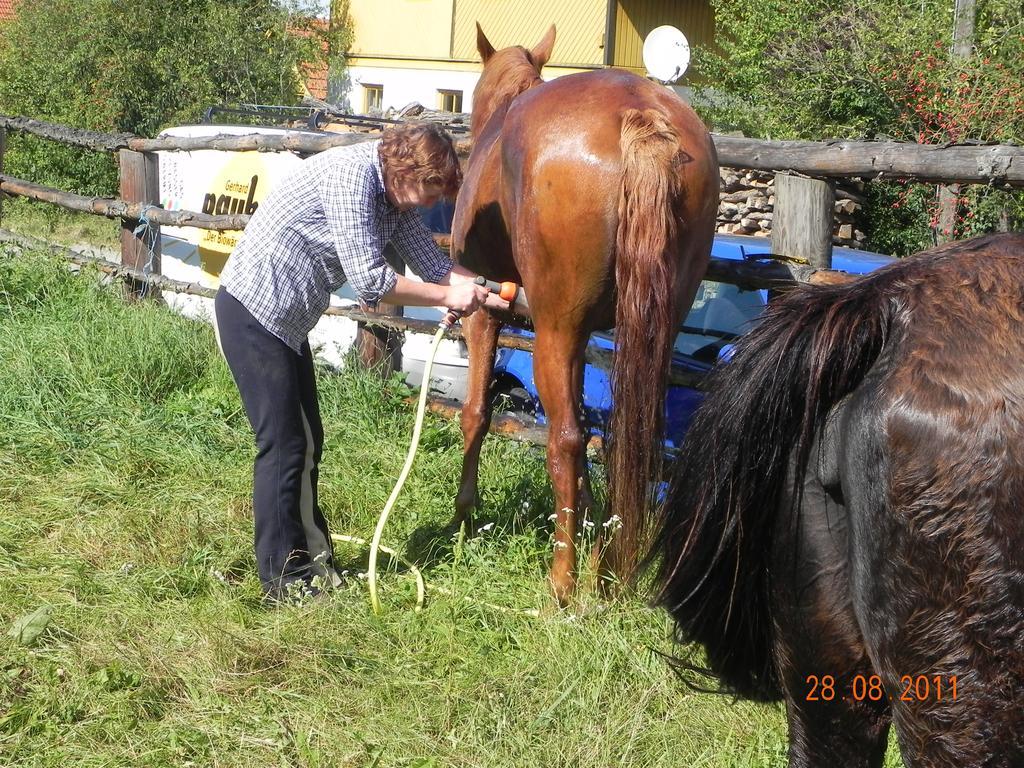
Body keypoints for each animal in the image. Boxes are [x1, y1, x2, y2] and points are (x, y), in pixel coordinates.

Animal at [448, 24, 720, 606]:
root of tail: (640, 114)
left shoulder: (486, 313)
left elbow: (477, 412)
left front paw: (462, 518)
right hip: (647, 330)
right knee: (623, 437)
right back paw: (611, 568)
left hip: (557, 329)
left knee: (566, 437)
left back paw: (563, 579)